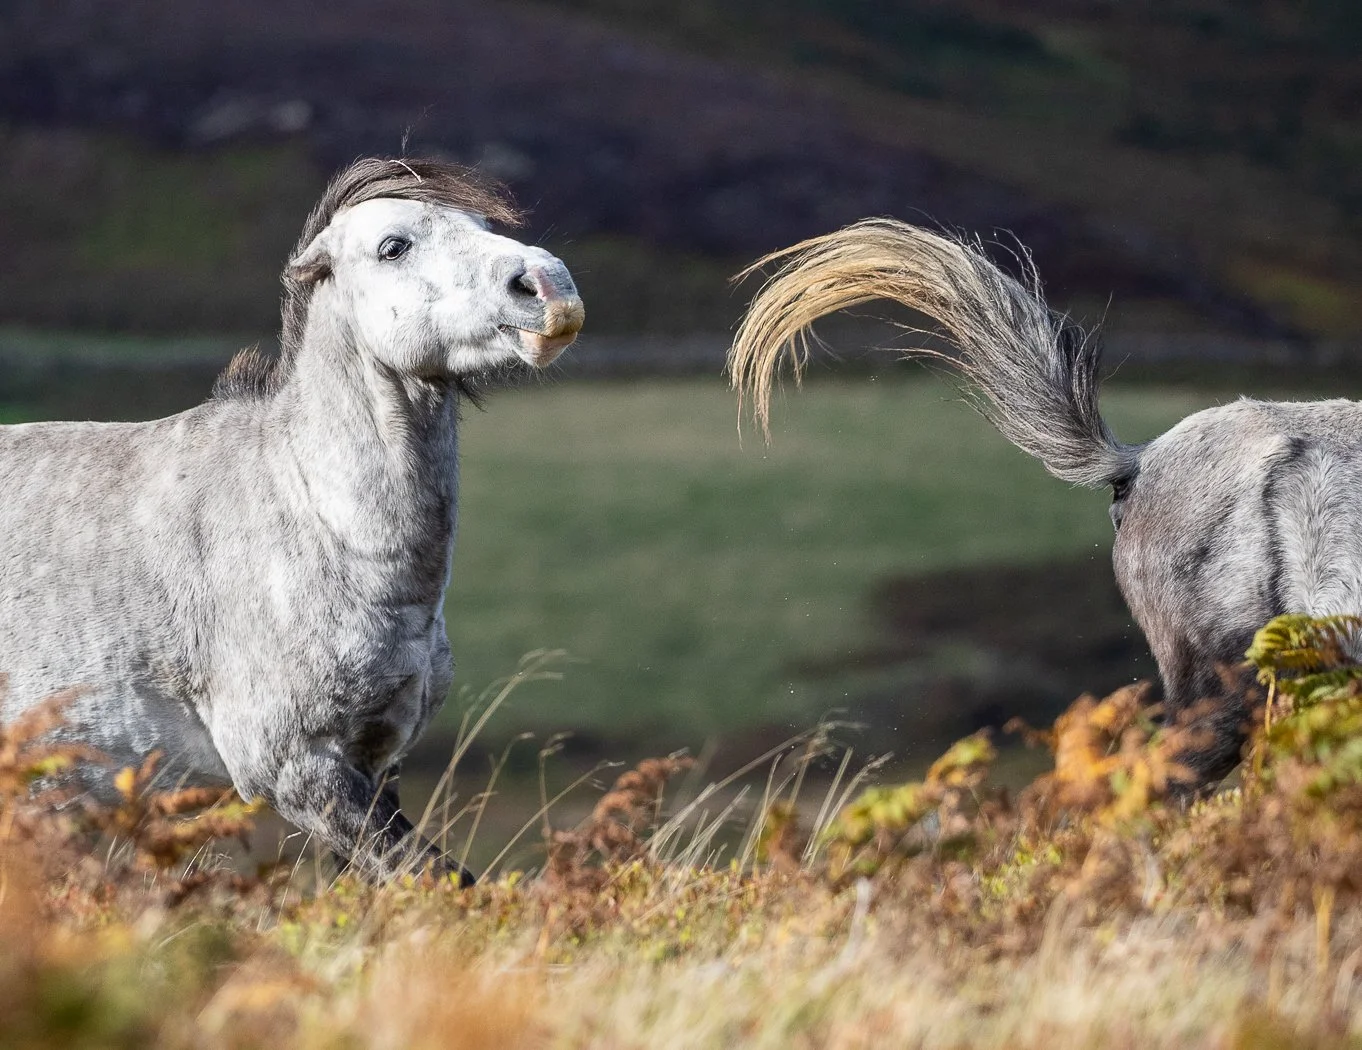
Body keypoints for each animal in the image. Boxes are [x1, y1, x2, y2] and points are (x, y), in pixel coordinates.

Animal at [0, 156, 584, 882]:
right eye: (393, 246)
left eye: (480, 222)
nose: (550, 288)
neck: (314, 521)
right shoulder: (297, 772)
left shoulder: (374, 763)